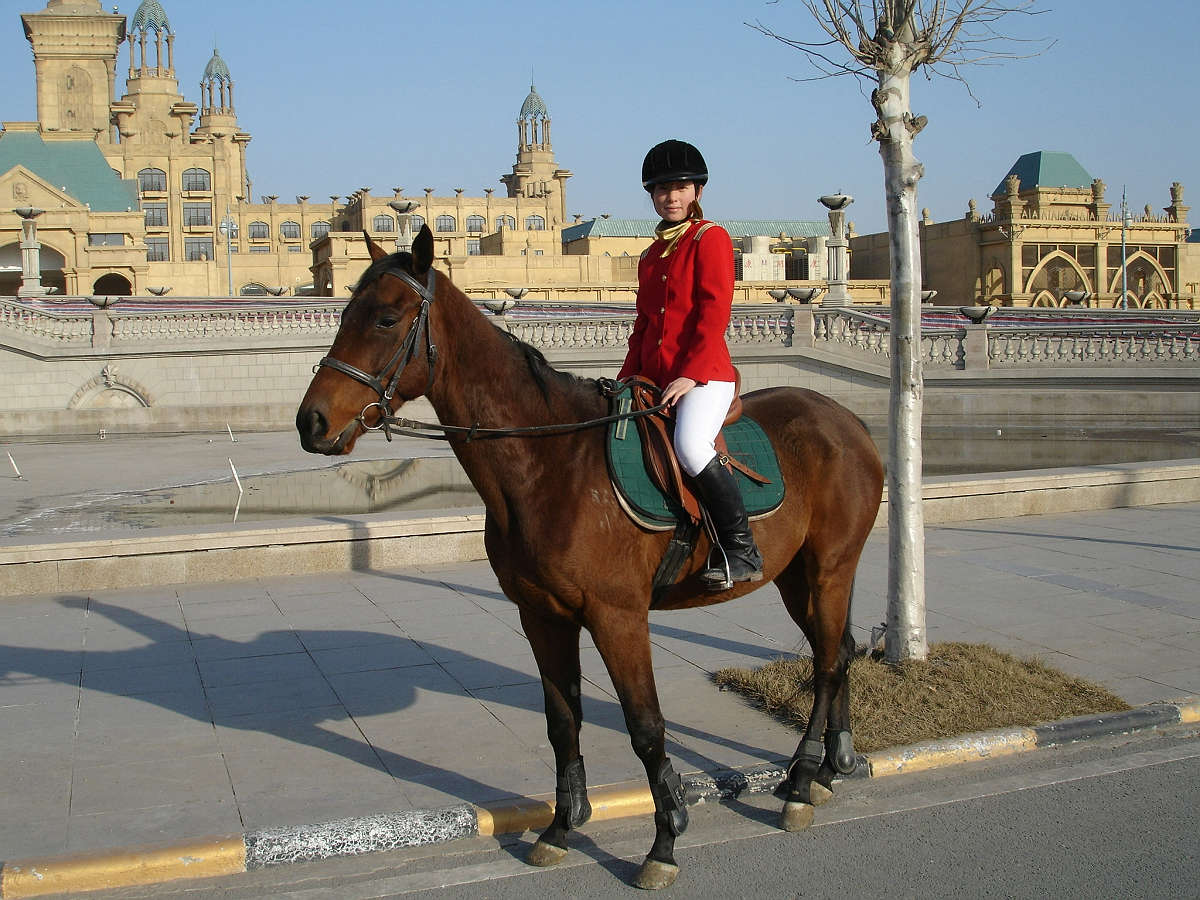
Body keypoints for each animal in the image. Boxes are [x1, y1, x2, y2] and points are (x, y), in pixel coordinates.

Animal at [296, 226, 888, 897]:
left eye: (386, 319)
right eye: (346, 312)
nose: (311, 421)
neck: (550, 462)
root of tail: (846, 419)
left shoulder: (618, 616)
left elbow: (645, 725)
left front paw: (665, 840)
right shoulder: (542, 616)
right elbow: (562, 720)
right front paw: (560, 828)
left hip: (829, 568)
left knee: (828, 664)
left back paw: (803, 781)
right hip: (796, 577)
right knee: (837, 652)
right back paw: (828, 769)